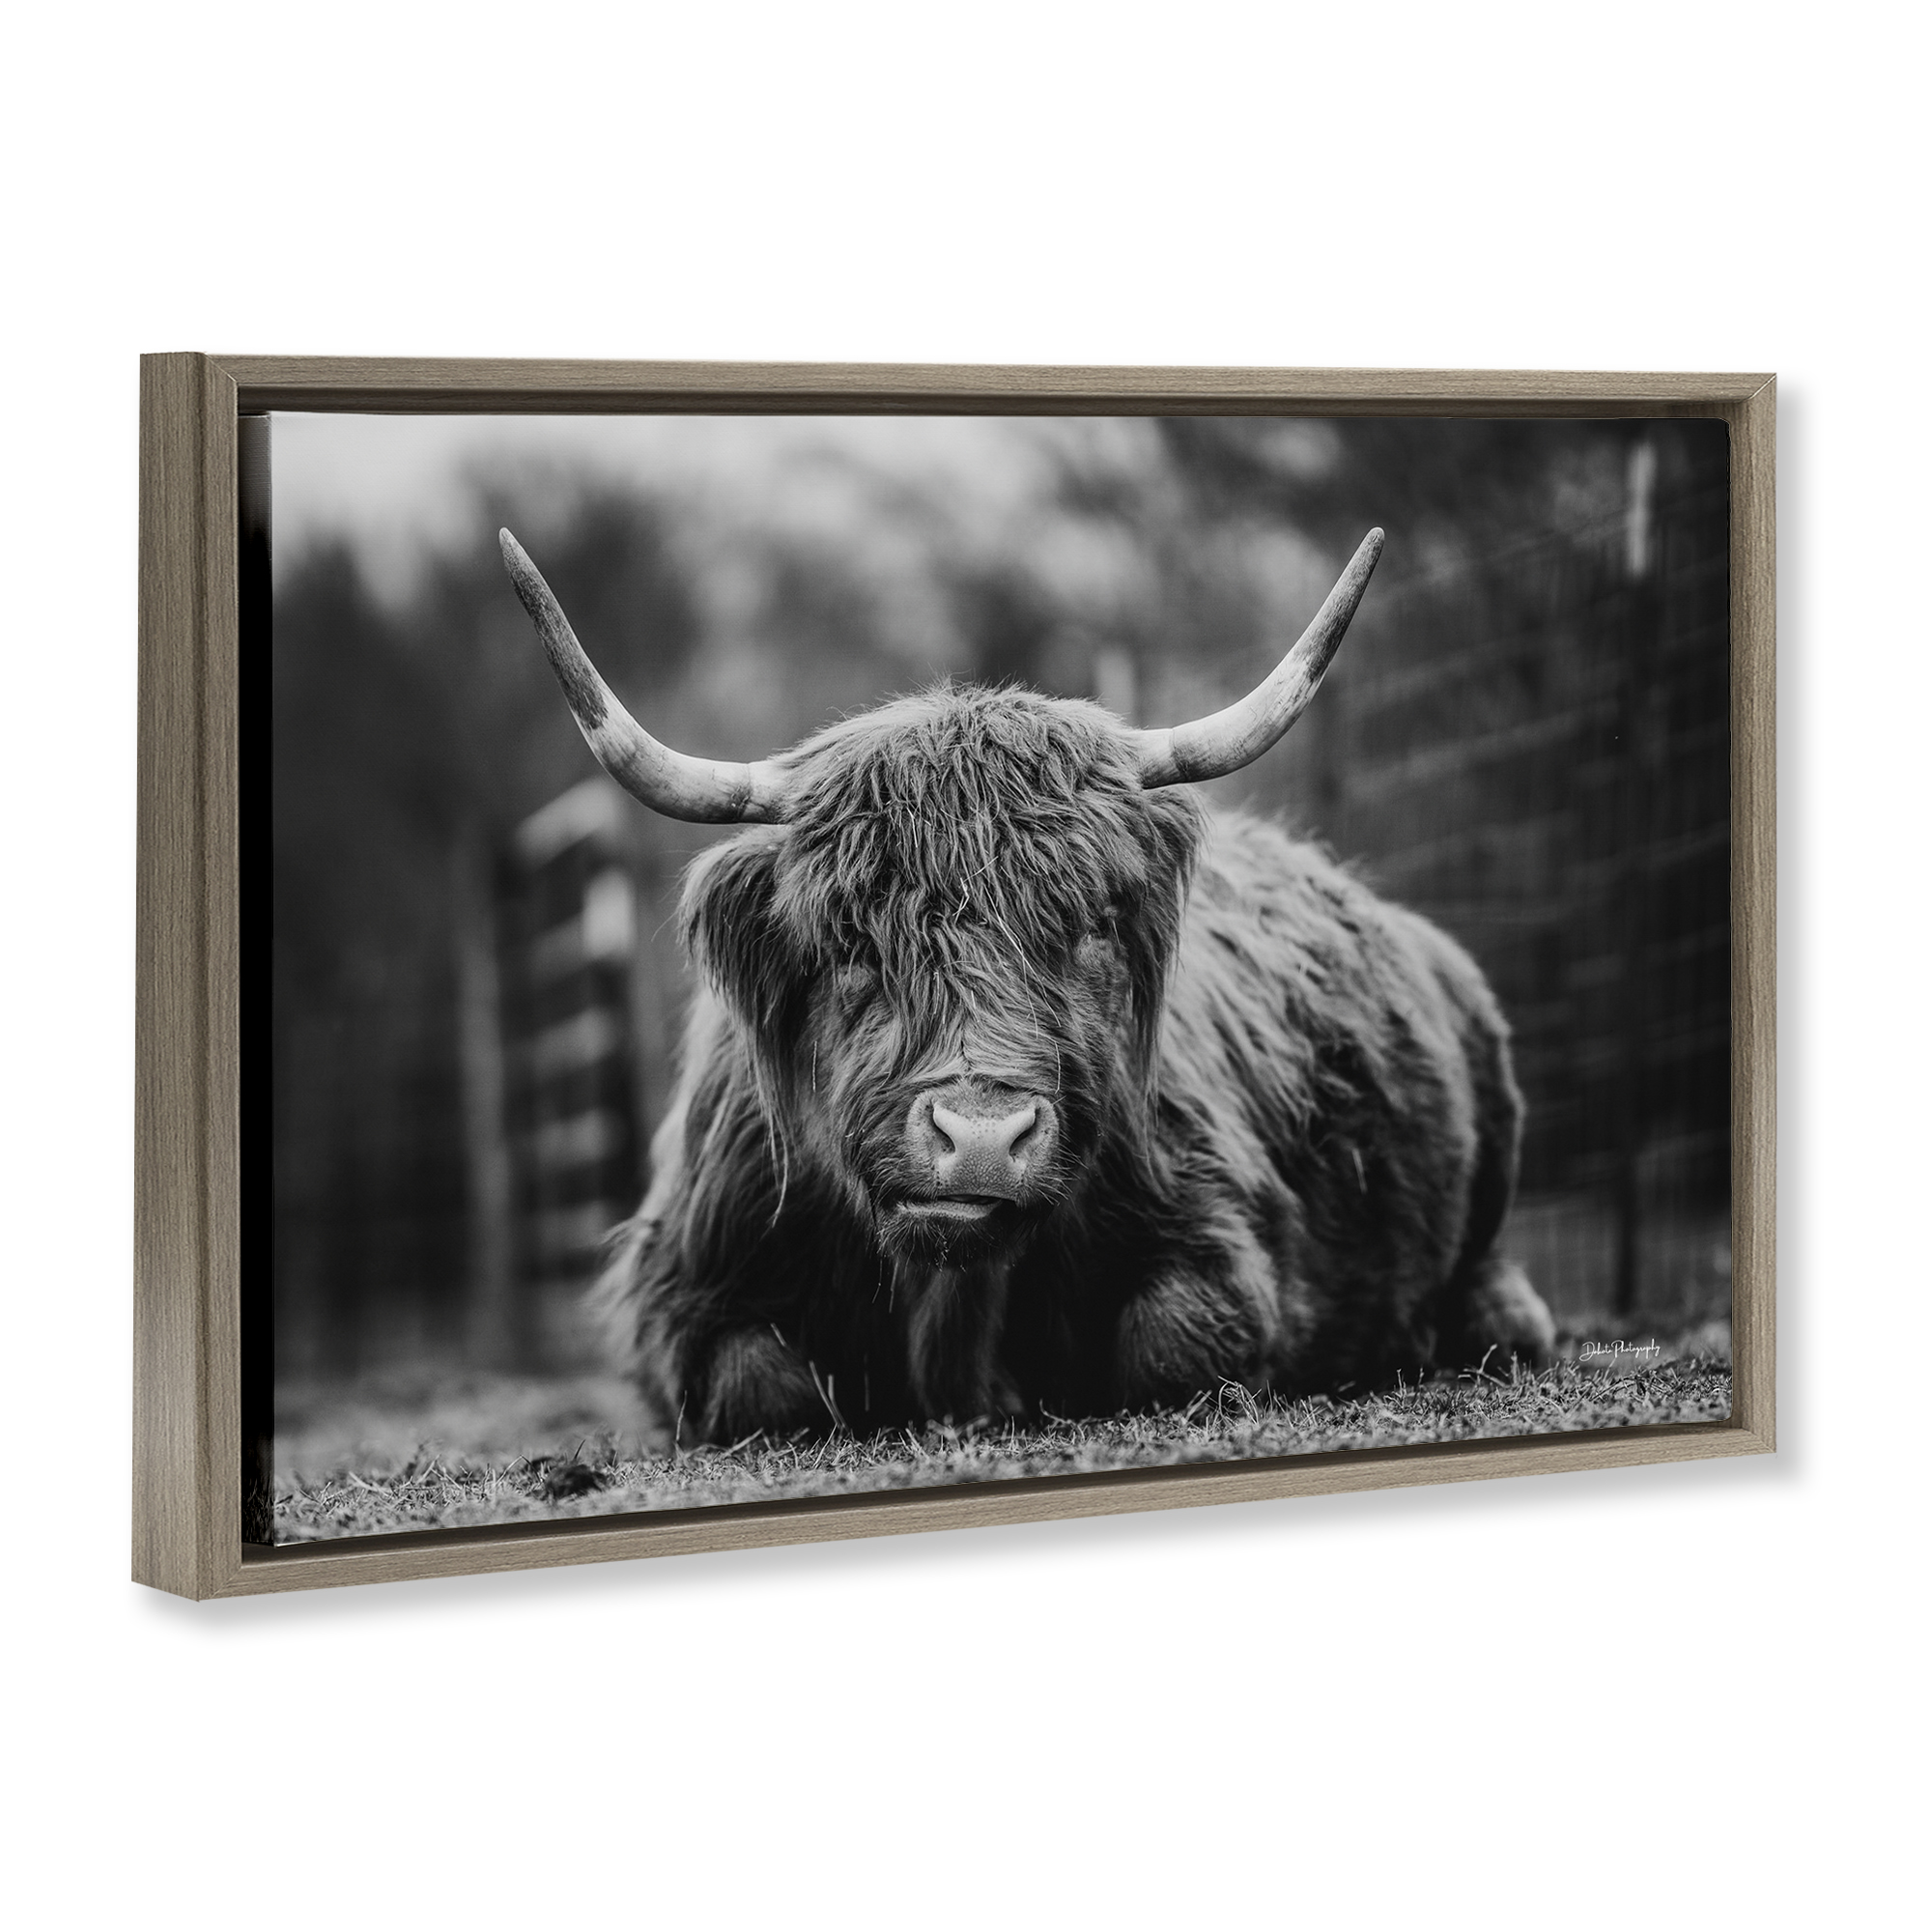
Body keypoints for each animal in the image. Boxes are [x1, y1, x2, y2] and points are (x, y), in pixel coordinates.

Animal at [500, 525, 1556, 1444]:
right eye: (850, 941)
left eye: (1089, 925)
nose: (979, 1138)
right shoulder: (683, 1288)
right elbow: (760, 1386)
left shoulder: (1218, 1240)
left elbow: (1174, 1345)